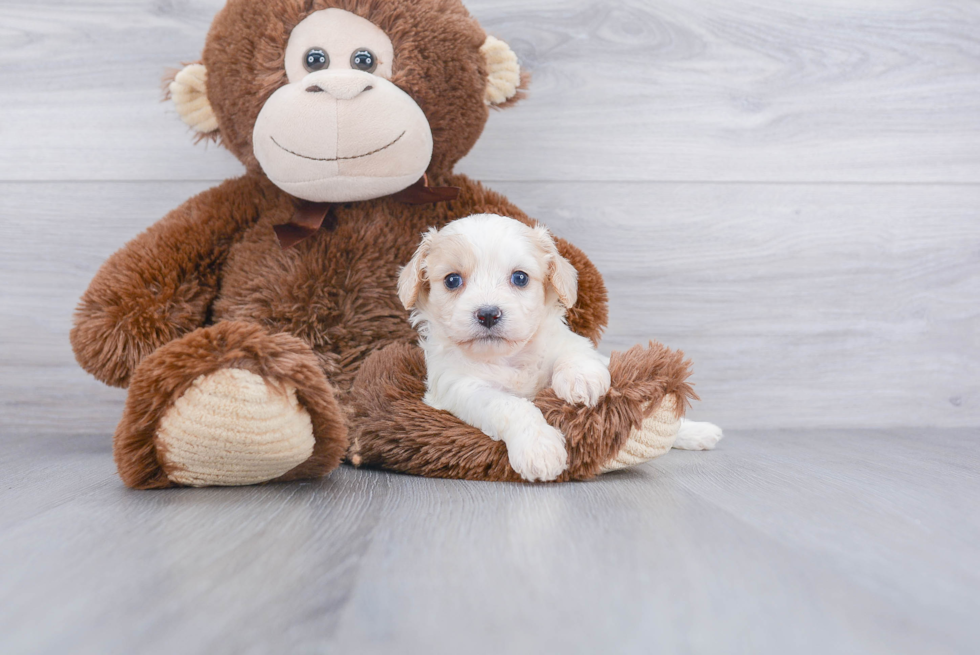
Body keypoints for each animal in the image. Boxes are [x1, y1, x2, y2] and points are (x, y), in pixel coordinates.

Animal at [394, 215, 608, 482]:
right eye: (452, 280)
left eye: (520, 278)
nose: (487, 314)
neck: (506, 358)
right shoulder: (462, 387)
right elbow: (511, 406)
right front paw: (538, 448)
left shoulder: (565, 340)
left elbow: (574, 351)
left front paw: (582, 380)